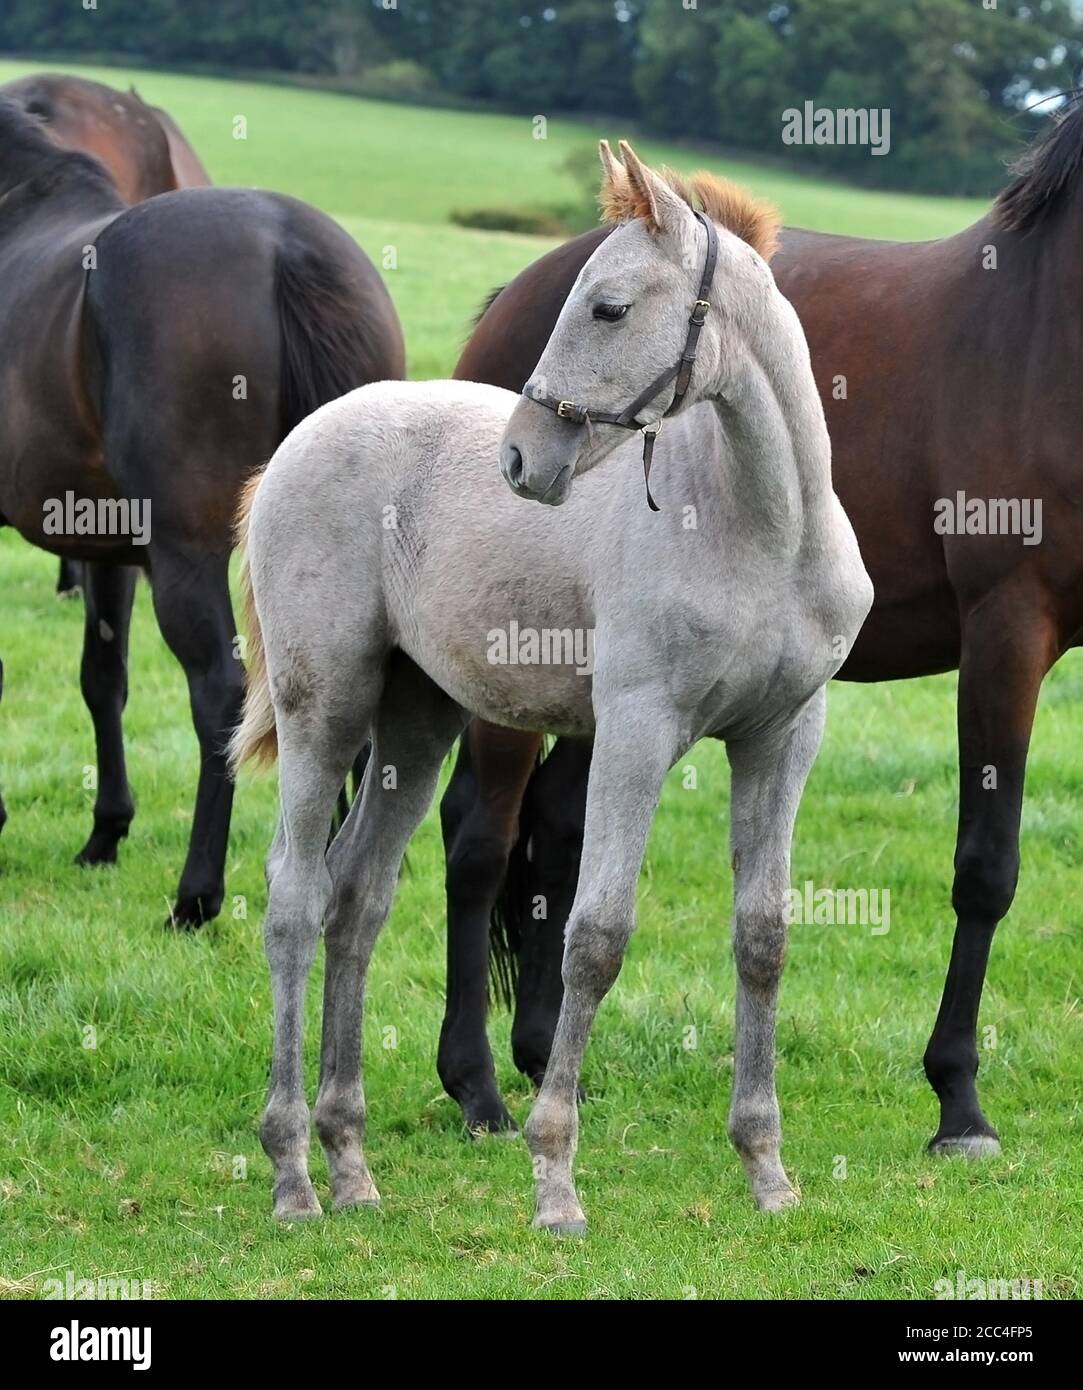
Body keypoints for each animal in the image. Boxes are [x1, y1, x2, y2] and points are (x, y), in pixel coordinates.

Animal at [0, 97, 404, 925]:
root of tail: (287, 247)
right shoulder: (107, 550)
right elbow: (103, 678)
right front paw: (105, 833)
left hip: (187, 557)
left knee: (220, 692)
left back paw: (196, 896)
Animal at [230, 143, 873, 1229]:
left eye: (608, 308)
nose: (522, 457)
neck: (762, 529)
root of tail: (294, 445)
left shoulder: (784, 732)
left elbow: (763, 937)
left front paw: (766, 1170)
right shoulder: (637, 727)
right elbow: (595, 936)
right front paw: (556, 1178)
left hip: (416, 721)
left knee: (356, 899)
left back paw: (351, 1163)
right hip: (327, 708)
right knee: (293, 899)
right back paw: (292, 1175)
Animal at [449, 98, 1083, 1160]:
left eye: (609, 311)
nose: (527, 454)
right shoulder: (1007, 631)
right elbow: (985, 868)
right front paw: (958, 1100)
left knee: (557, 831)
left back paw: (540, 1058)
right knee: (479, 837)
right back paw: (478, 1088)